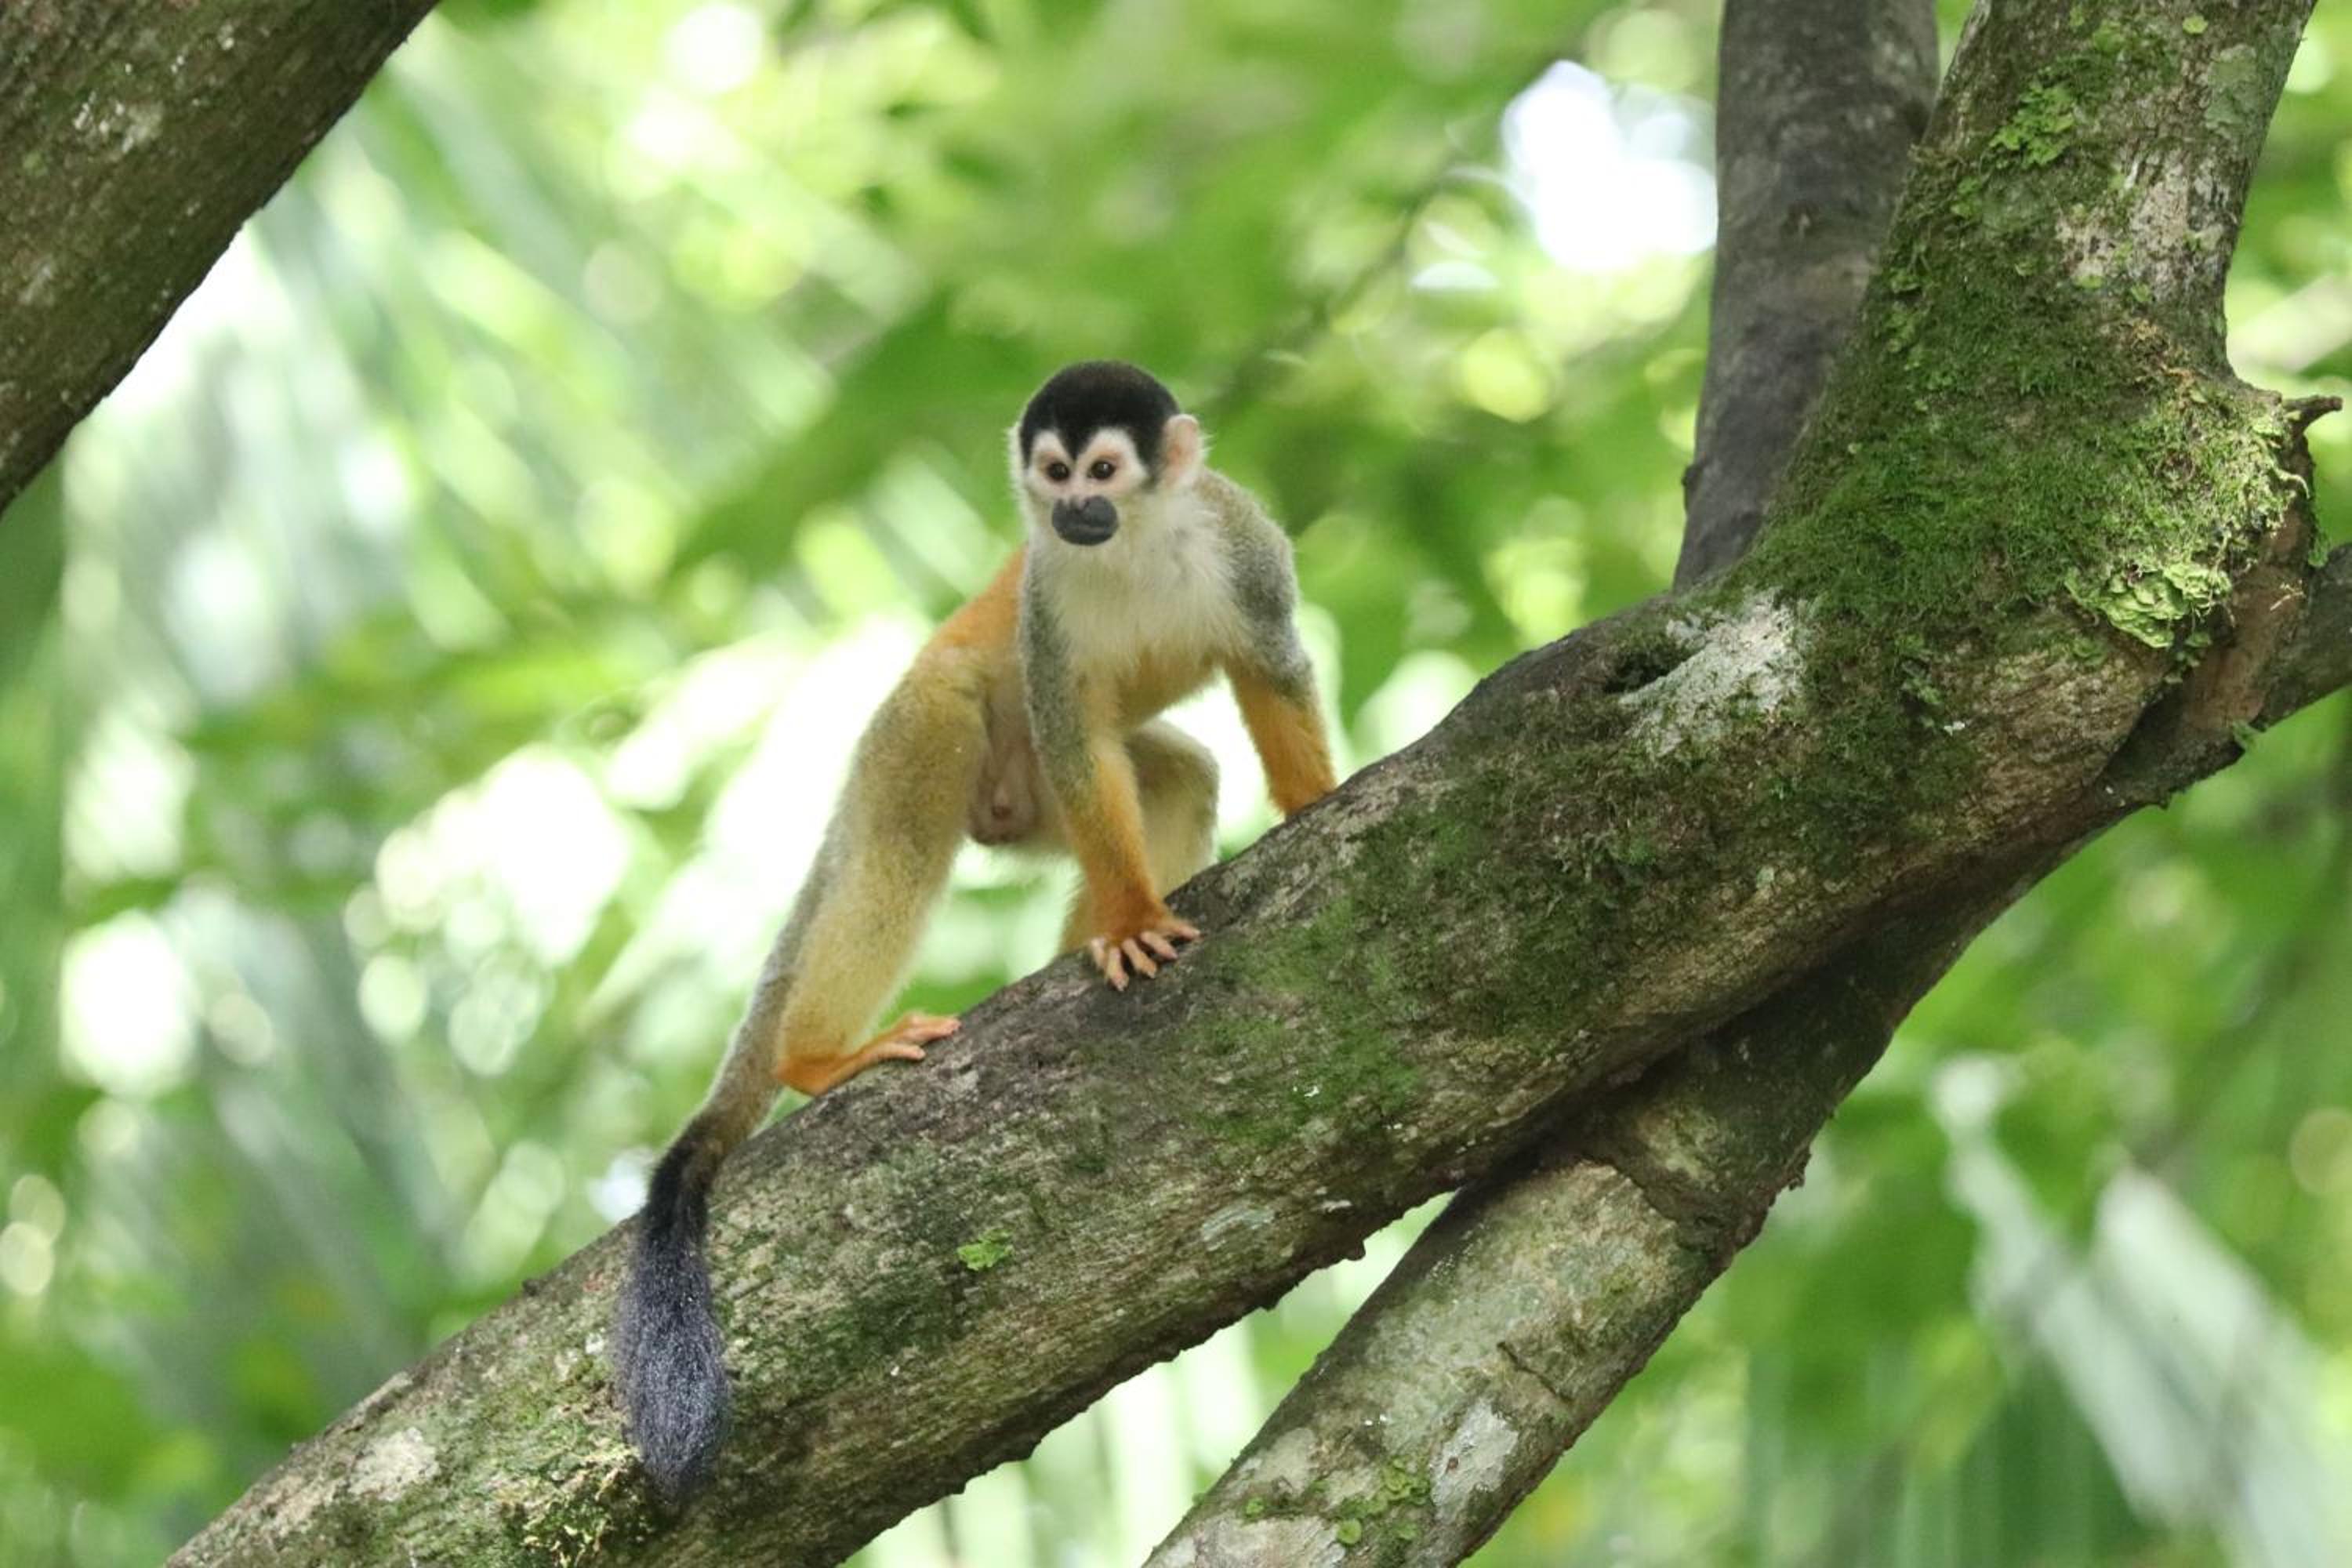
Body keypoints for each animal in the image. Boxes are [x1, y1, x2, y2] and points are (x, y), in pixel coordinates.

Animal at [612, 360, 1338, 1498]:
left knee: (1176, 774)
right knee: (915, 820)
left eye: (1102, 471)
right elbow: (1078, 736)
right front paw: (1134, 920)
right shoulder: (1044, 603)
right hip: (921, 725)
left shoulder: (1244, 544)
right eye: (1054, 473)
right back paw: (820, 1055)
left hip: (1016, 795)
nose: (1072, 511)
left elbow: (1272, 668)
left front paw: (1311, 805)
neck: (1132, 545)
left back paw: (1069, 956)